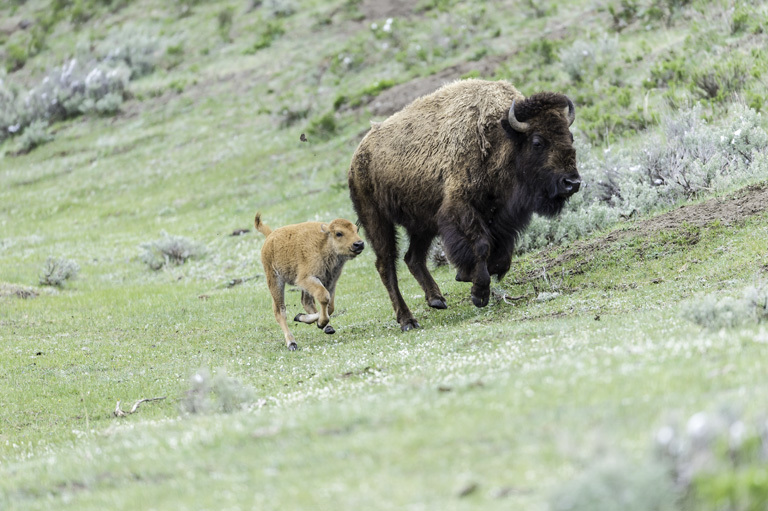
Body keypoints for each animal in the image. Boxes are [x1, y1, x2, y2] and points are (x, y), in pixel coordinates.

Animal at [254, 213, 364, 352]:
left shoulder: (330, 282)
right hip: (275, 281)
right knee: (280, 311)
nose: (359, 244)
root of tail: (270, 236)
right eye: (339, 233)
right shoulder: (306, 279)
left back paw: (325, 327)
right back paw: (292, 343)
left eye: (356, 230)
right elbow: (324, 298)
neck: (324, 243)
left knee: (306, 302)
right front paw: (320, 322)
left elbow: (330, 306)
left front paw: (318, 322)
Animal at [346, 78, 576, 330]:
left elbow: (502, 257)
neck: (500, 136)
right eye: (537, 142)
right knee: (386, 264)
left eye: (570, 137)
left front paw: (466, 275)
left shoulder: (502, 216)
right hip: (377, 220)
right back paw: (407, 320)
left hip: (422, 224)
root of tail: (357, 157)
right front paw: (478, 292)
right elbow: (481, 247)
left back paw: (436, 299)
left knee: (413, 257)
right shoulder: (461, 209)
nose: (572, 182)